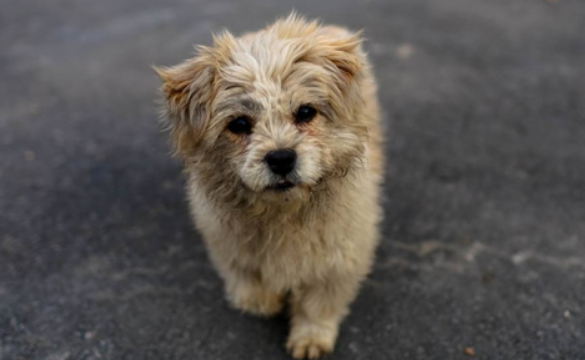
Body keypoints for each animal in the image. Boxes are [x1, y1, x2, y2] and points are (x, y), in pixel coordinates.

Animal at [155, 14, 384, 360]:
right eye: (239, 124)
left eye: (305, 112)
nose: (281, 159)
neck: (282, 213)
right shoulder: (227, 244)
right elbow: (250, 284)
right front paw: (265, 301)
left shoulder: (338, 259)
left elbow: (318, 306)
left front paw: (310, 338)